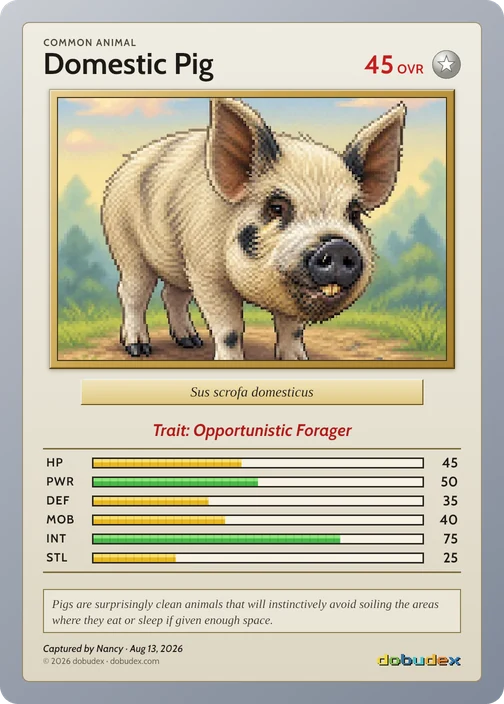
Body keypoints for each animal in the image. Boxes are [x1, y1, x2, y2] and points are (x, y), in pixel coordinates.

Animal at [101, 98, 406, 360]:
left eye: (354, 213)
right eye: (277, 207)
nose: (338, 245)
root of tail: (120, 170)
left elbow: (292, 329)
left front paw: (297, 359)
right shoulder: (206, 271)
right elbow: (229, 330)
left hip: (179, 262)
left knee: (172, 295)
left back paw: (191, 342)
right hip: (124, 243)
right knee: (132, 293)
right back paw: (139, 348)